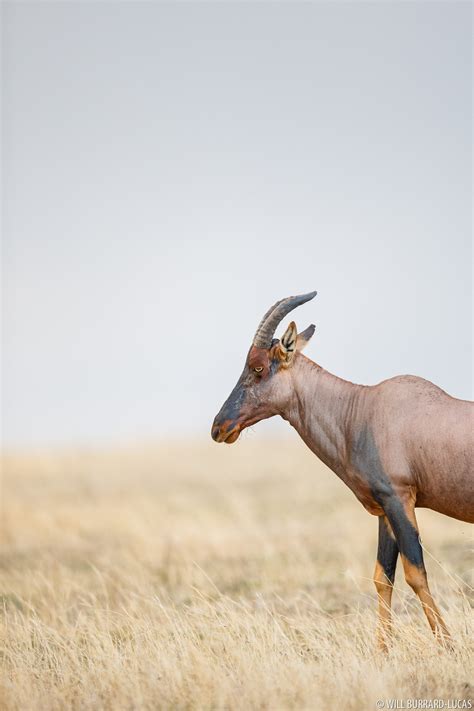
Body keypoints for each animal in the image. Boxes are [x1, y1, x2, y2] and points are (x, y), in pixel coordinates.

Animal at [212, 290, 474, 652]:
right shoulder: (385, 509)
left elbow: (415, 573)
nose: (219, 428)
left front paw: (448, 645)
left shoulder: (400, 499)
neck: (362, 409)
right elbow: (383, 577)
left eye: (259, 367)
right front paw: (382, 651)